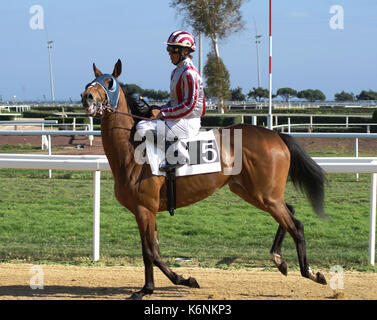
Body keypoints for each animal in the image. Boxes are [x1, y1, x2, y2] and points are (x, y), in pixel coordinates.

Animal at [80, 59, 326, 300]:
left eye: (109, 82)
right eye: (91, 80)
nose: (86, 96)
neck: (131, 149)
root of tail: (276, 135)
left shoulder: (144, 209)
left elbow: (148, 251)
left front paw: (146, 289)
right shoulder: (148, 210)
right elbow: (155, 251)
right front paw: (184, 280)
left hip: (265, 195)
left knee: (296, 225)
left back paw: (311, 273)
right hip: (253, 191)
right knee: (290, 211)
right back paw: (279, 260)